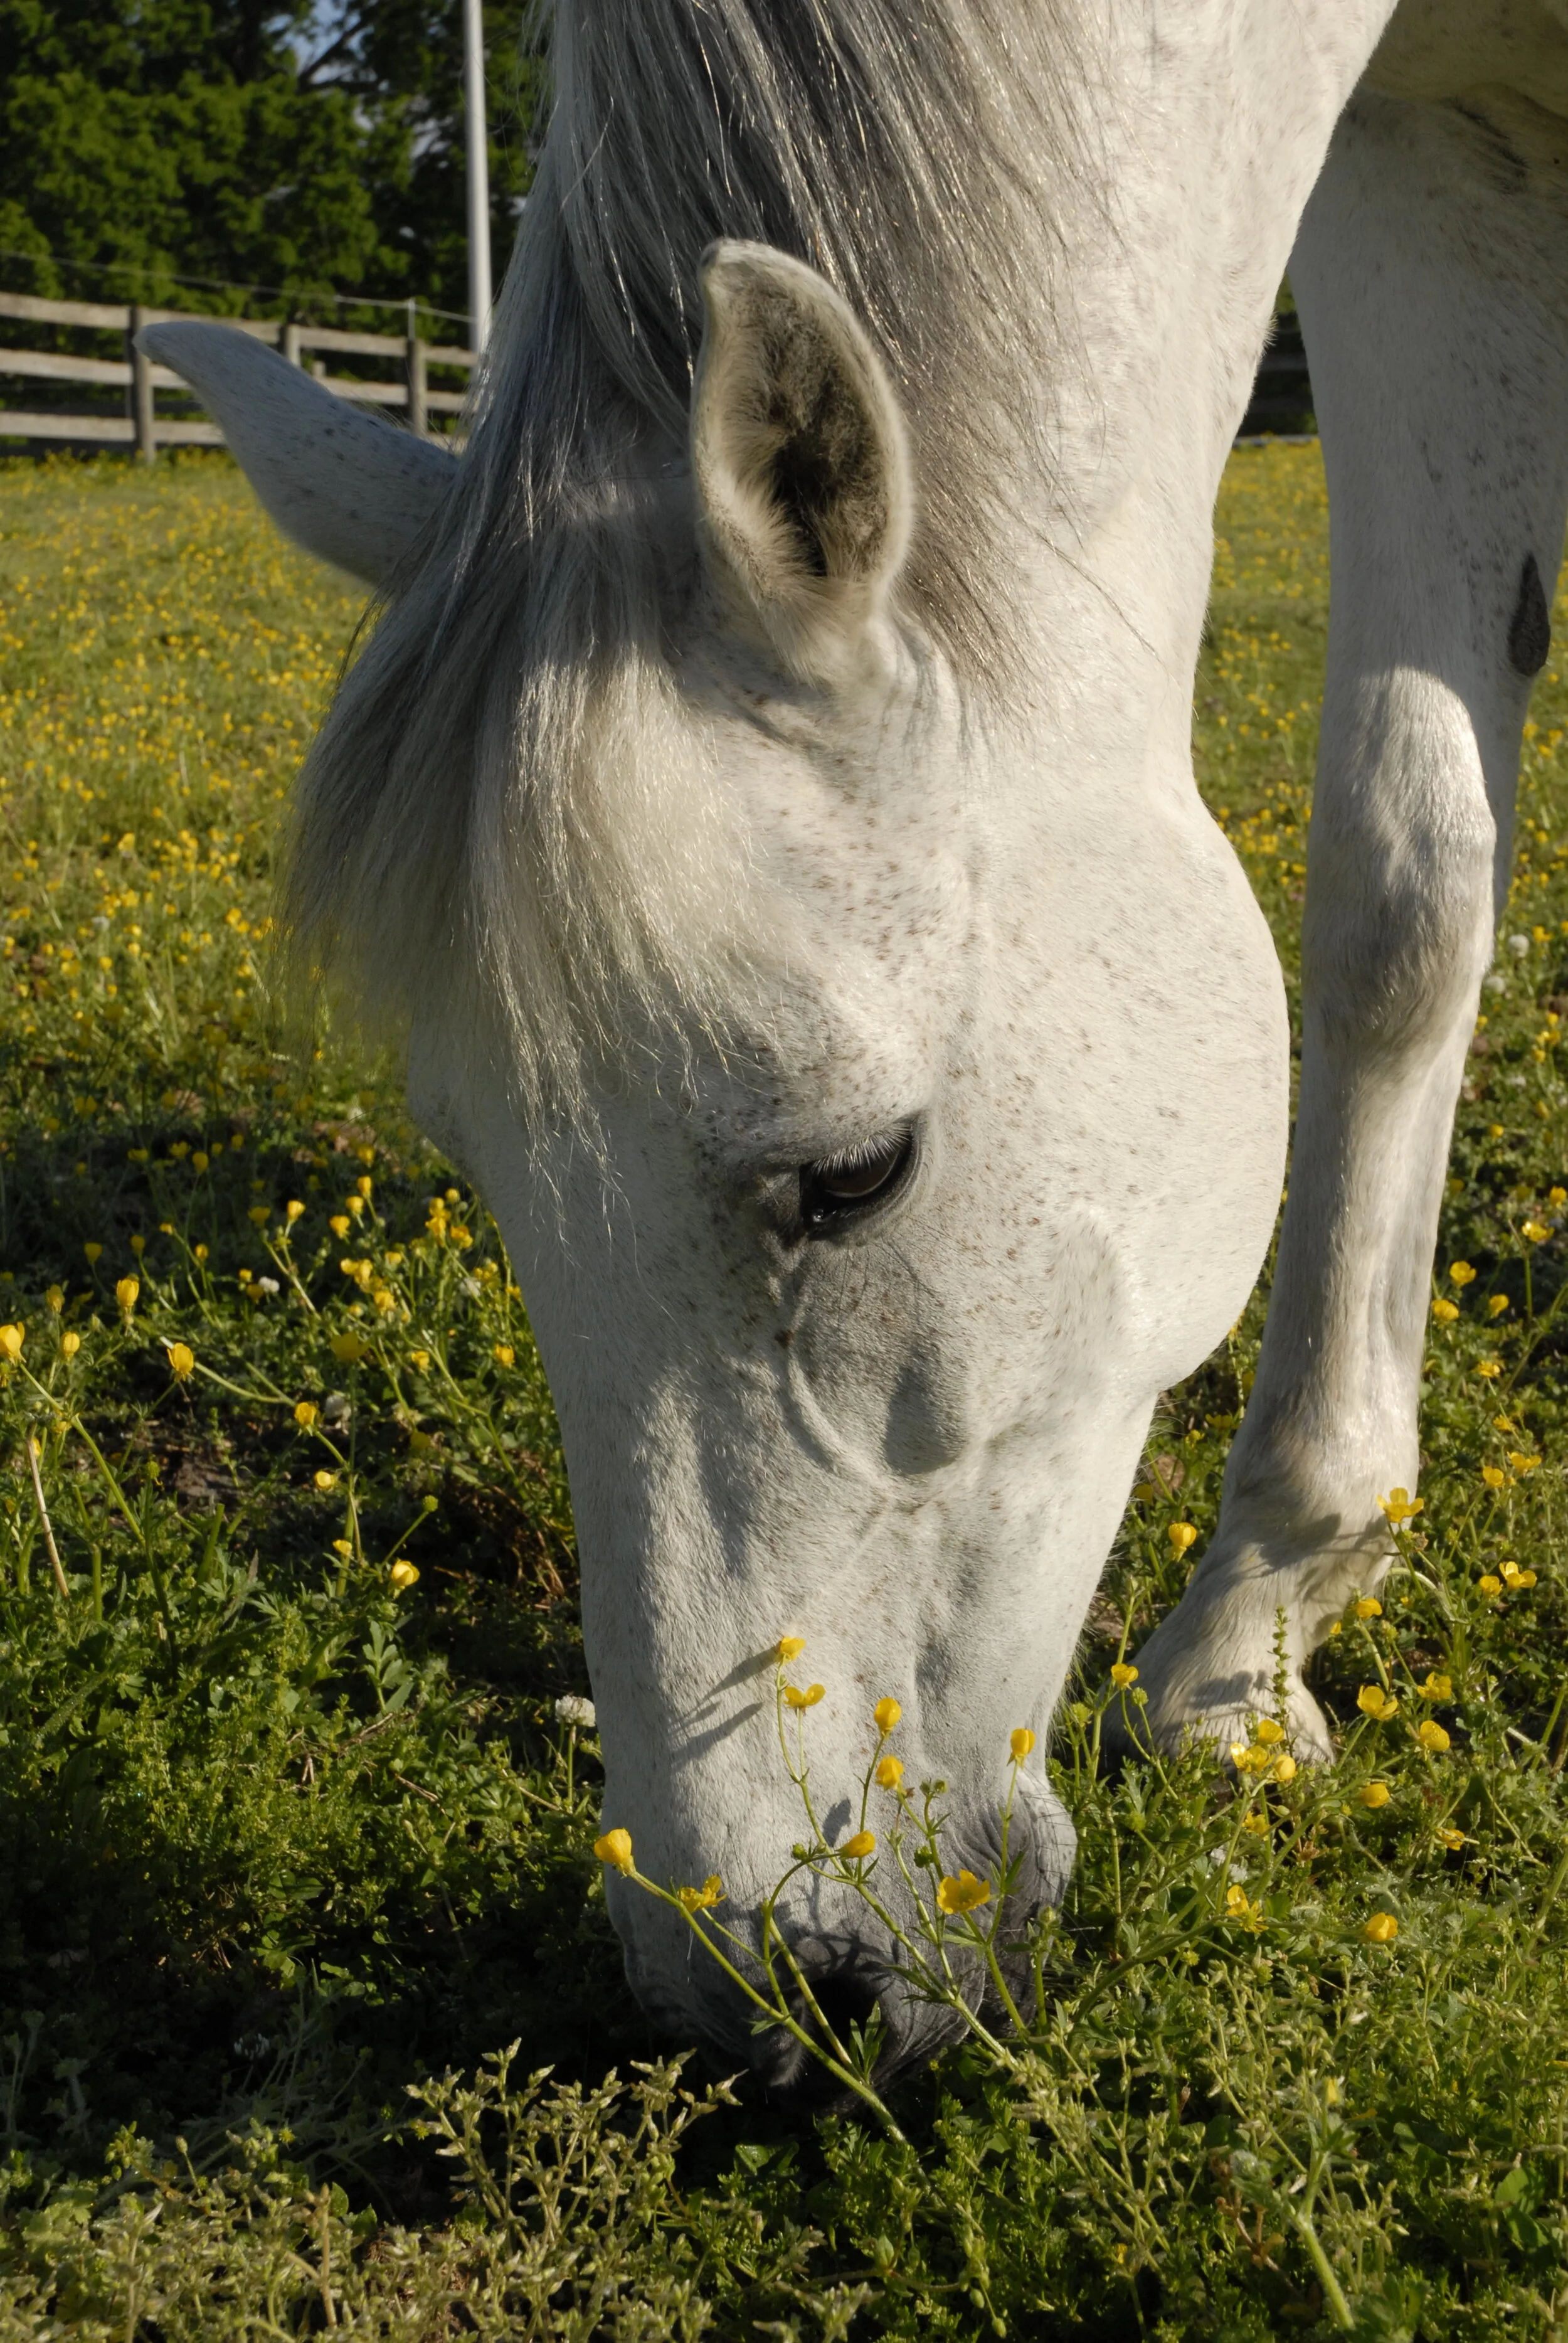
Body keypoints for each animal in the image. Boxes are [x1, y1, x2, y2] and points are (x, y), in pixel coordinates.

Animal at [143, 0, 1568, 2089]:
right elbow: (1410, 872)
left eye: (854, 1173)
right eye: (485, 1178)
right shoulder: (1431, 157)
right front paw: (1258, 1640)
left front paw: (1248, 1633)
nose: (759, 1989)